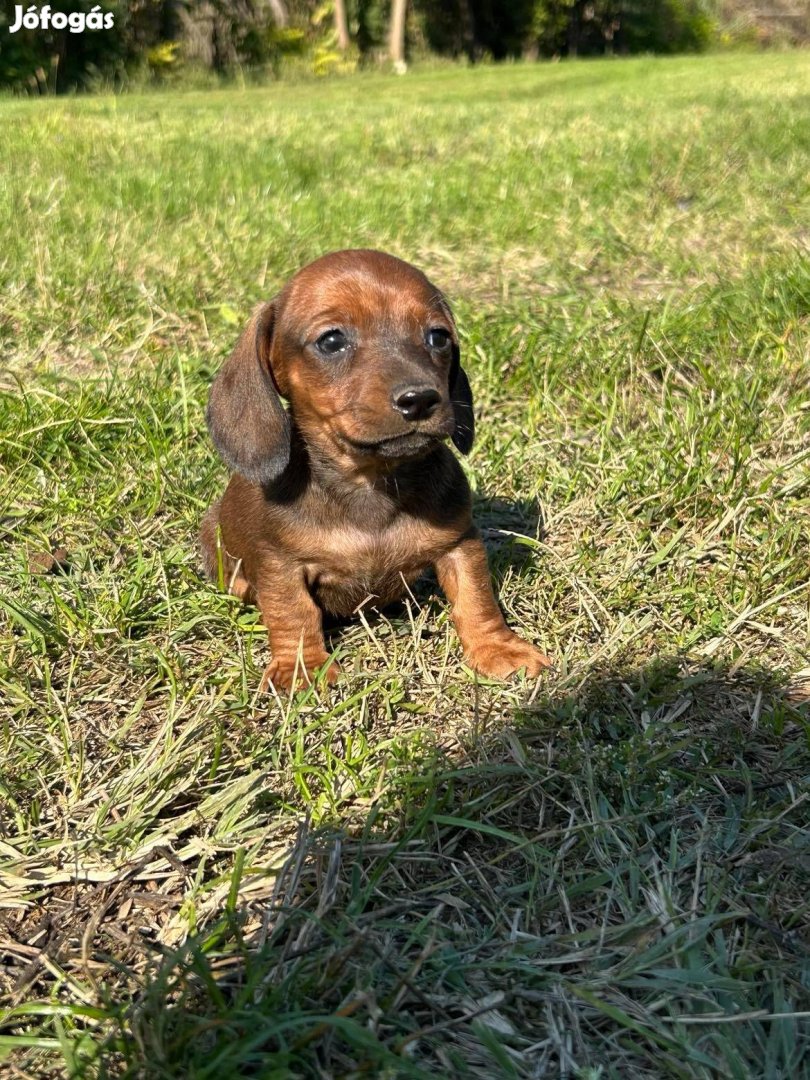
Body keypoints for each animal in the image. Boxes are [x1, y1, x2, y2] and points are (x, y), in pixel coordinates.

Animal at [200, 249, 557, 691]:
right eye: (332, 340)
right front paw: (302, 668)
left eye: (438, 336)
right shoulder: (279, 565)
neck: (370, 482)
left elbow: (476, 598)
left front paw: (497, 648)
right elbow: (293, 613)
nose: (419, 400)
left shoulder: (460, 542)